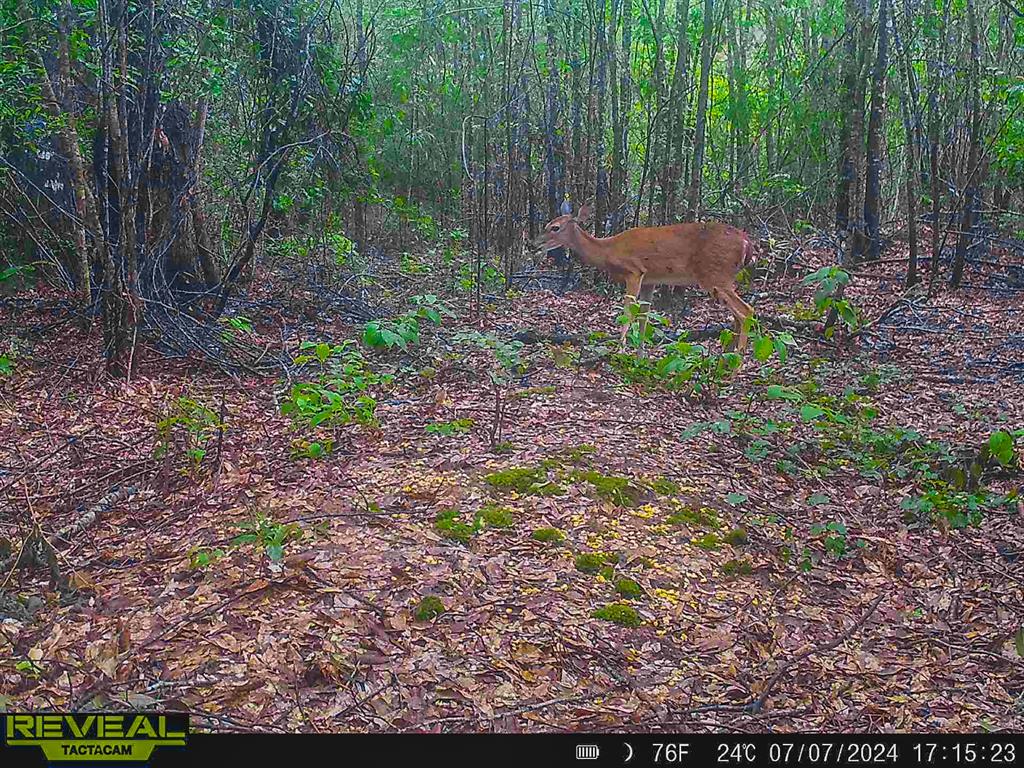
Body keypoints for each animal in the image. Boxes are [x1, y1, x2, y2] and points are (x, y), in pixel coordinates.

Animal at [540, 201, 757, 352]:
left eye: (555, 227)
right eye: (547, 224)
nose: (535, 243)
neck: (608, 250)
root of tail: (747, 243)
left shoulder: (634, 271)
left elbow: (629, 311)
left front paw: (620, 349)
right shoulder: (650, 281)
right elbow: (644, 317)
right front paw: (640, 354)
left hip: (715, 275)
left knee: (746, 311)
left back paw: (737, 362)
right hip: (721, 278)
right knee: (737, 315)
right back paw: (726, 357)